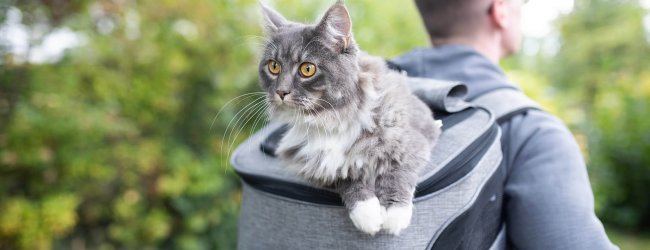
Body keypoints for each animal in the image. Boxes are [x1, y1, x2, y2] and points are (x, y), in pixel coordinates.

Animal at [256, 1, 438, 236]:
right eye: (274, 66)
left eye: (307, 69)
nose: (281, 92)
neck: (330, 120)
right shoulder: (311, 164)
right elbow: (346, 177)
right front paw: (368, 215)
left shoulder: (414, 140)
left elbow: (397, 172)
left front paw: (394, 215)